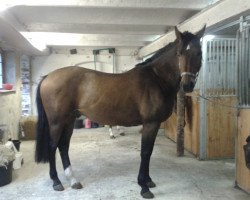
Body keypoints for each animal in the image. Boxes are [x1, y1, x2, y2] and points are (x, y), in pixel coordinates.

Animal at [35, 26, 205, 198]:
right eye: (179, 53)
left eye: (199, 53)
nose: (187, 85)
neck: (156, 79)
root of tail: (48, 77)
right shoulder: (150, 124)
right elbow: (145, 152)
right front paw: (144, 187)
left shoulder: (155, 124)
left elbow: (149, 151)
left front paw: (148, 181)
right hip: (57, 122)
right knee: (52, 146)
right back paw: (56, 181)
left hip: (69, 121)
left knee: (63, 146)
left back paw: (73, 180)